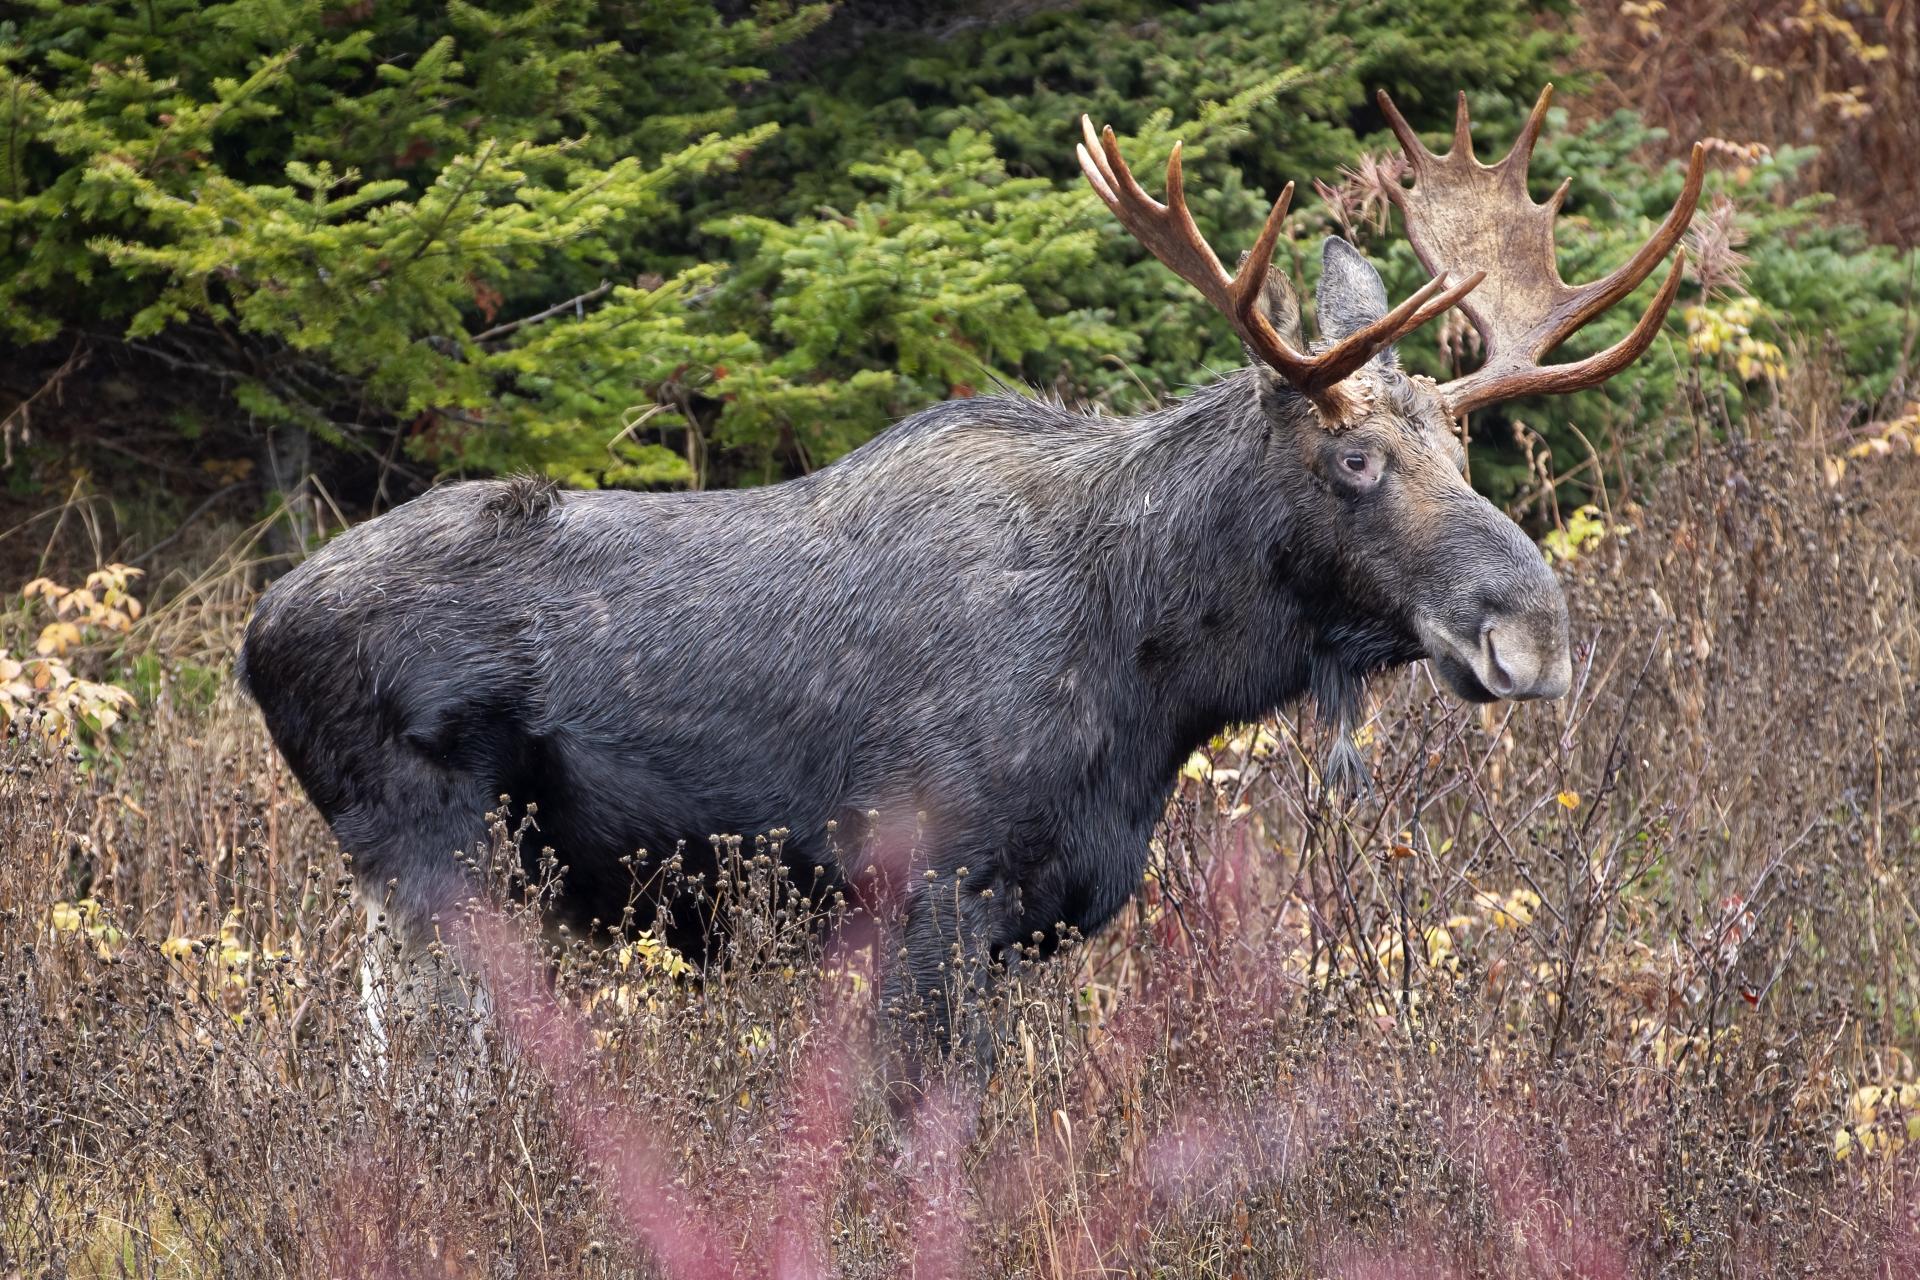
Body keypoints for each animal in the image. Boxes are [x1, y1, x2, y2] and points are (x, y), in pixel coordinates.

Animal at [238, 85, 1702, 1083]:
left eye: (1466, 447)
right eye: (1352, 457)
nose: (1533, 633)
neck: (1149, 677)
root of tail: (256, 633)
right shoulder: (929, 894)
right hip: (434, 853)